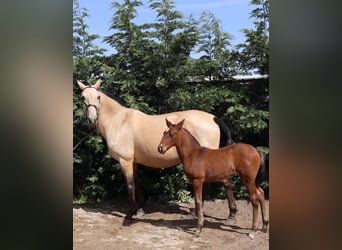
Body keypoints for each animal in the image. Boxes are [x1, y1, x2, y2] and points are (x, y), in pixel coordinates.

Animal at [77, 79, 238, 221]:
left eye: (98, 97)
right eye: (83, 97)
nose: (92, 119)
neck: (120, 121)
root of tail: (213, 118)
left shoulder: (125, 161)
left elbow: (130, 186)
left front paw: (131, 213)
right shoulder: (134, 162)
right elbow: (137, 183)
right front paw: (141, 209)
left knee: (224, 181)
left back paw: (226, 214)